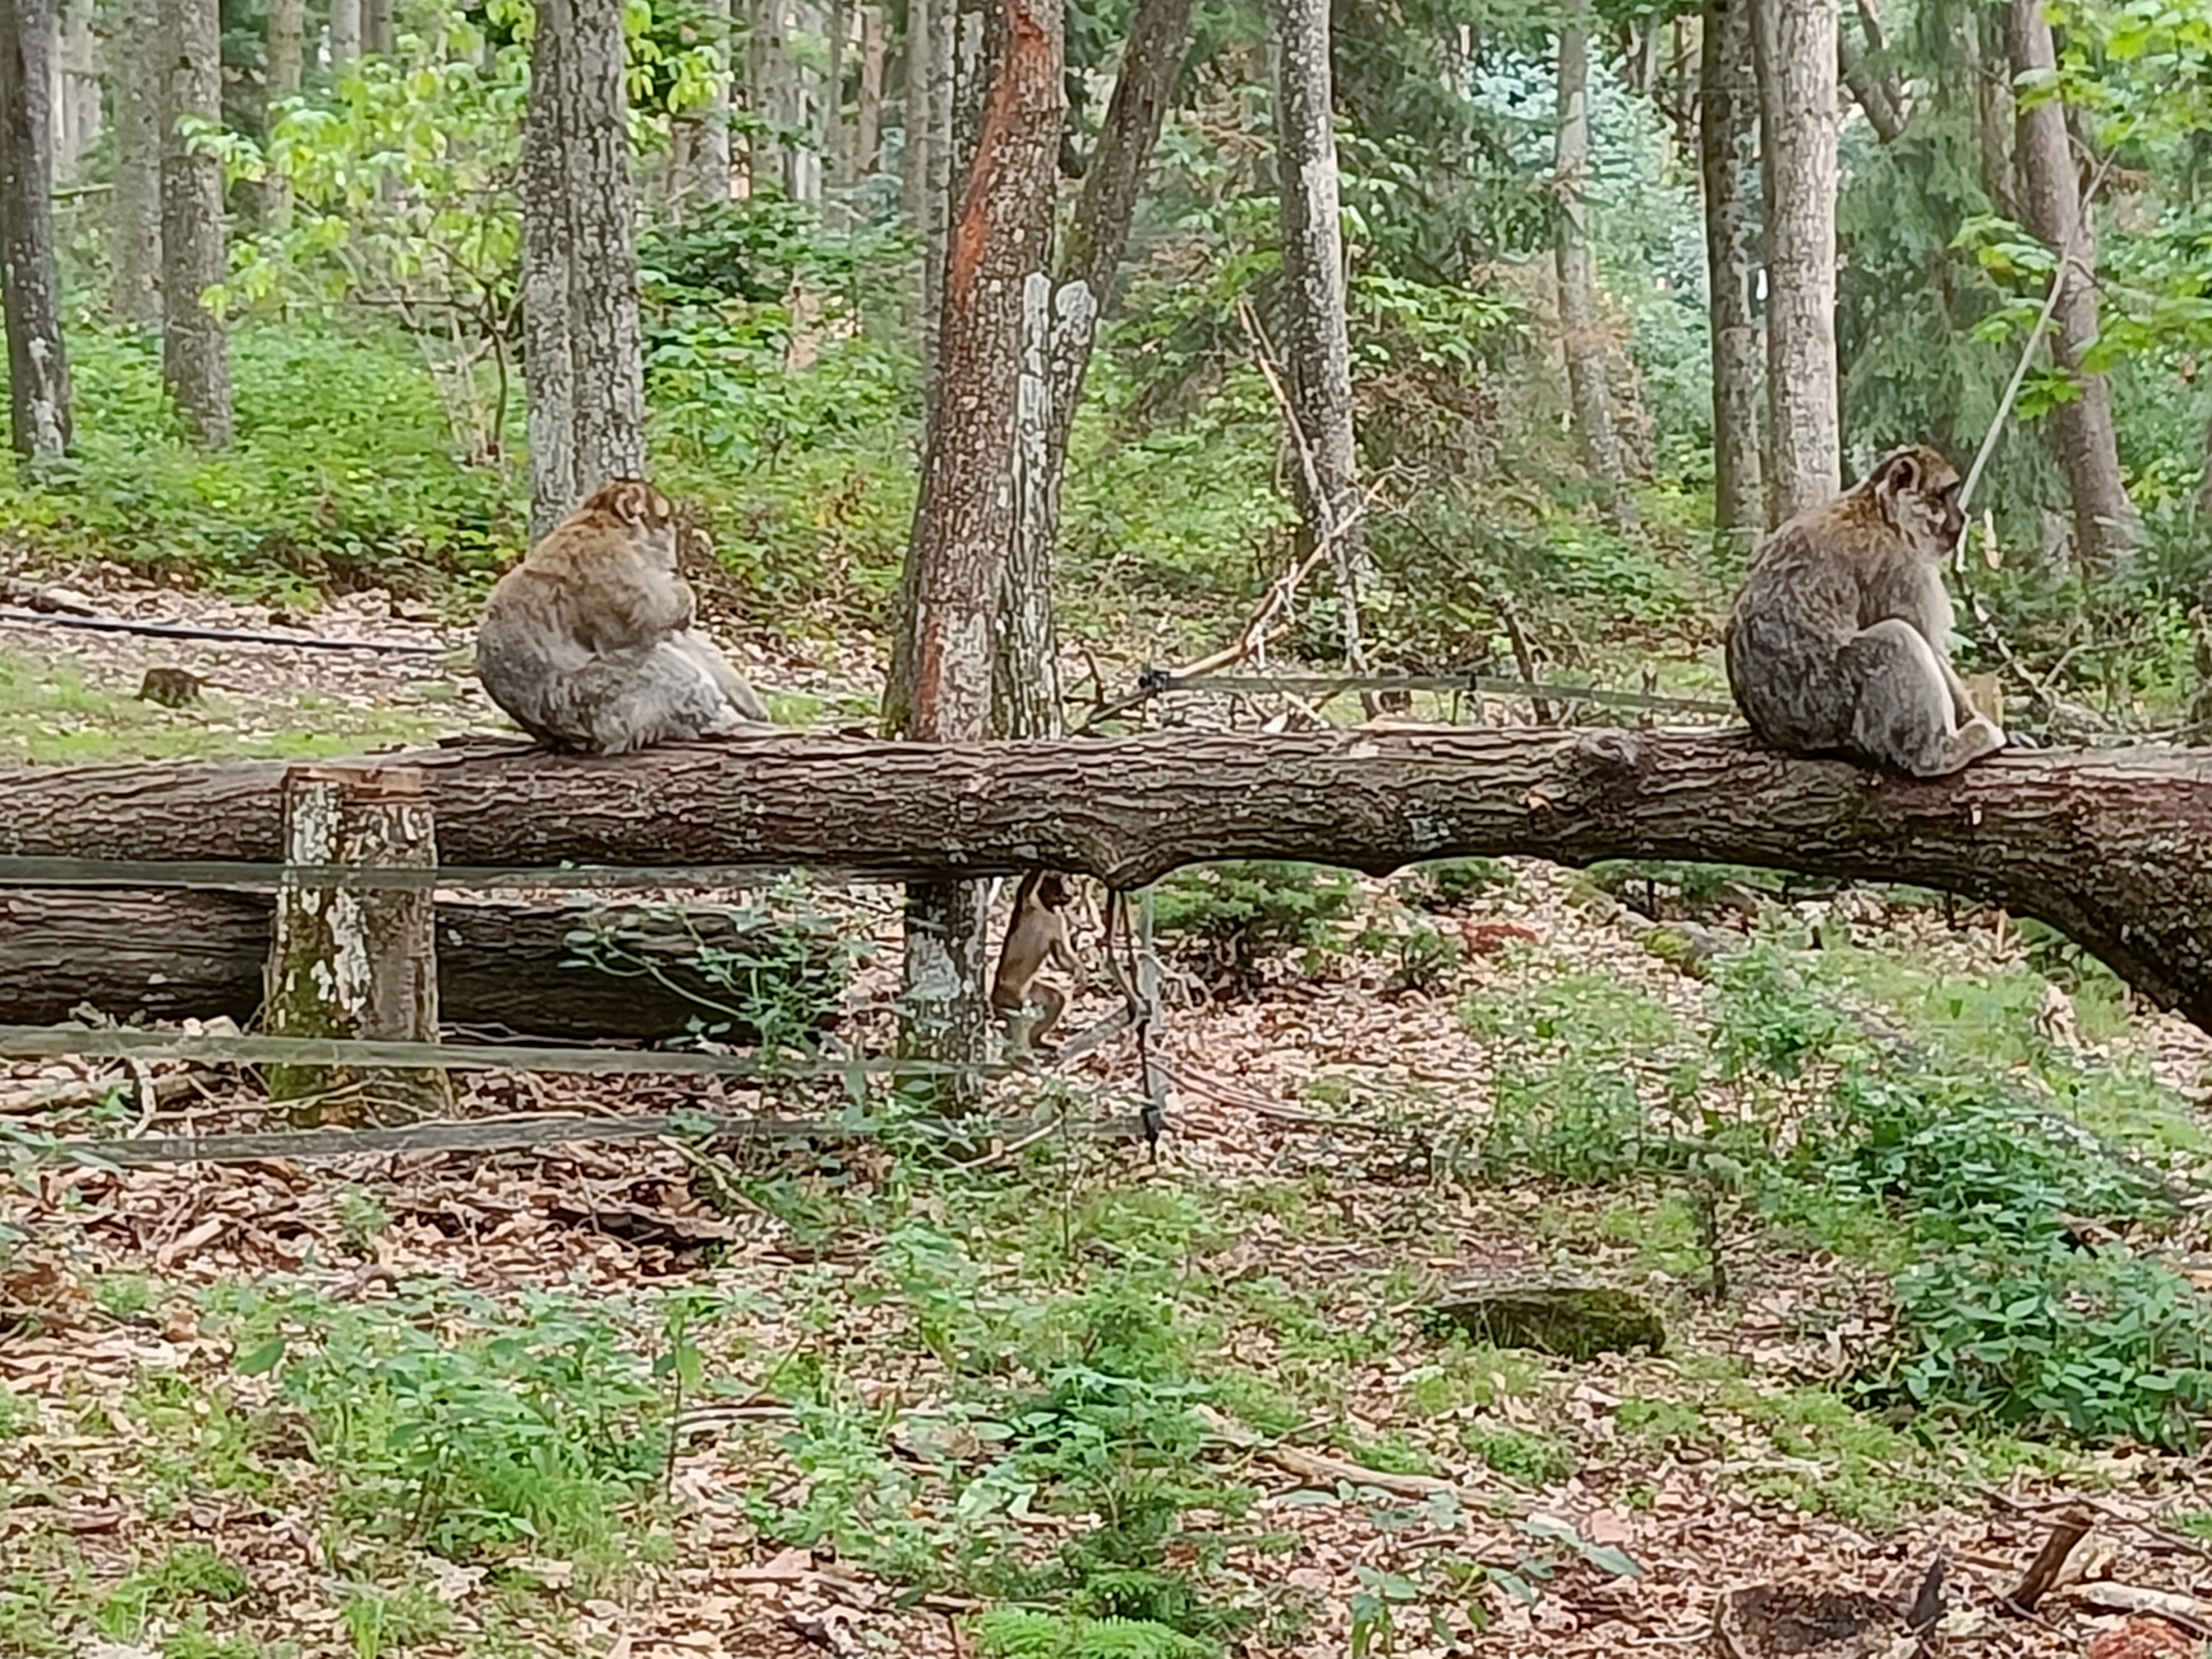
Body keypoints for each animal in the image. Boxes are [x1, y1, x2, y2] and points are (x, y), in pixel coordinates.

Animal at [474, 479, 773, 755]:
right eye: (666, 519)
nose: (675, 542)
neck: (599, 520)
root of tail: (565, 740)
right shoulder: (611, 561)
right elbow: (654, 619)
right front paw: (683, 593)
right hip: (594, 702)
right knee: (663, 667)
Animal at [990, 871, 1085, 1055]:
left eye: (1069, 881)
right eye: (1061, 882)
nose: (1071, 892)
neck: (1047, 908)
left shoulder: (1058, 920)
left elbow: (1062, 953)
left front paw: (1081, 975)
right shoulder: (1027, 897)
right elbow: (1032, 878)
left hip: (1030, 992)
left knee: (1056, 999)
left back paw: (1037, 1042)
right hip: (1009, 997)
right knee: (1018, 1017)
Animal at [1723, 445, 2010, 779]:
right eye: (1943, 496)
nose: (1961, 518)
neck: (1880, 511)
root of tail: (1778, 731)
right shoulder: (1901, 565)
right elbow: (1930, 644)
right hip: (1828, 701)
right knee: (1897, 638)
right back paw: (1936, 753)